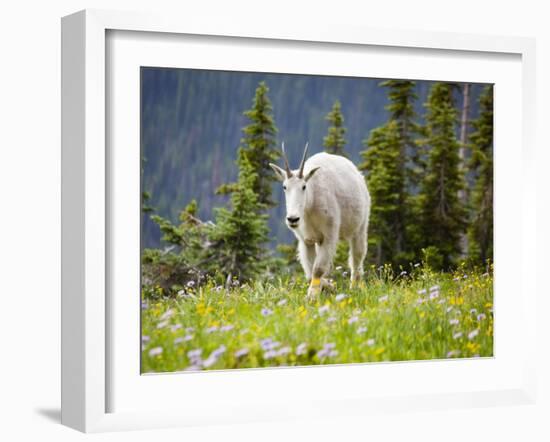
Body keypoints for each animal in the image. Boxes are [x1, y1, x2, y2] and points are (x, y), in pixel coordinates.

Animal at [270, 143, 370, 298]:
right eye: (284, 187)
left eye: (304, 186)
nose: (293, 219)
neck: (309, 206)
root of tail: (358, 174)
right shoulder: (306, 240)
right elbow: (310, 272)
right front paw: (328, 286)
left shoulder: (329, 234)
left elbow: (317, 268)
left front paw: (312, 295)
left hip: (360, 227)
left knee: (357, 257)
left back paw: (355, 287)